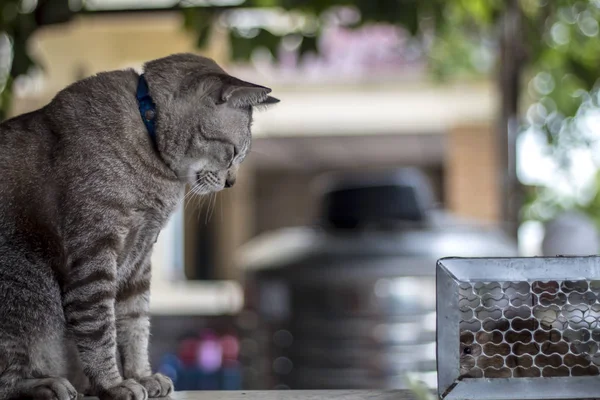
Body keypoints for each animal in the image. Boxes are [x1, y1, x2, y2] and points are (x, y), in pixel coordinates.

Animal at [0, 54, 278, 400]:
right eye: (233, 153)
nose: (232, 183)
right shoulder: (96, 251)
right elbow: (100, 330)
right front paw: (112, 384)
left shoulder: (139, 259)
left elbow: (135, 325)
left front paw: (140, 376)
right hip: (31, 286)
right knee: (9, 379)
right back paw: (45, 384)